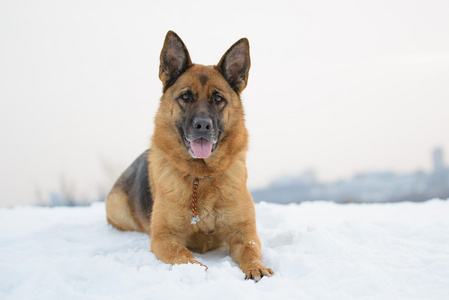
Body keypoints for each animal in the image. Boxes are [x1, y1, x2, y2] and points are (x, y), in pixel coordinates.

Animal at [105, 31, 272, 280]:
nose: (202, 125)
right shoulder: (164, 237)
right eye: (186, 96)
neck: (201, 178)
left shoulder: (243, 232)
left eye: (218, 99)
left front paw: (256, 267)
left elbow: (251, 249)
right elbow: (182, 254)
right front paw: (198, 269)